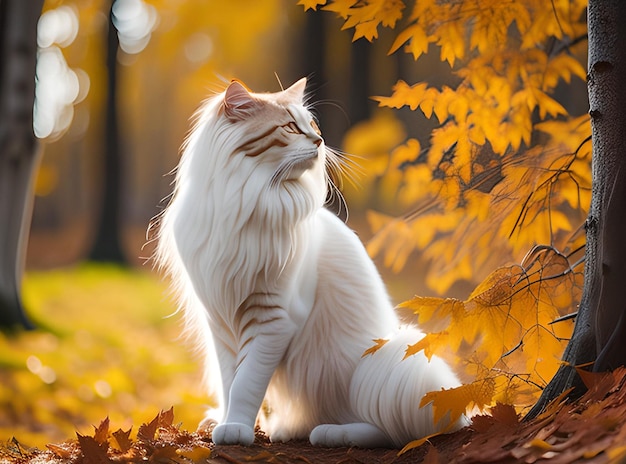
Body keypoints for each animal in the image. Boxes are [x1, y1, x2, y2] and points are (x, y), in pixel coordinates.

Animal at [153, 78, 460, 448]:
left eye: (313, 126)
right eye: (290, 127)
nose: (320, 141)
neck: (248, 201)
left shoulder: (274, 318)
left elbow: (246, 384)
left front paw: (236, 429)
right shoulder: (221, 321)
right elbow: (230, 382)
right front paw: (227, 422)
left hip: (389, 363)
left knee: (389, 431)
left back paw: (328, 433)